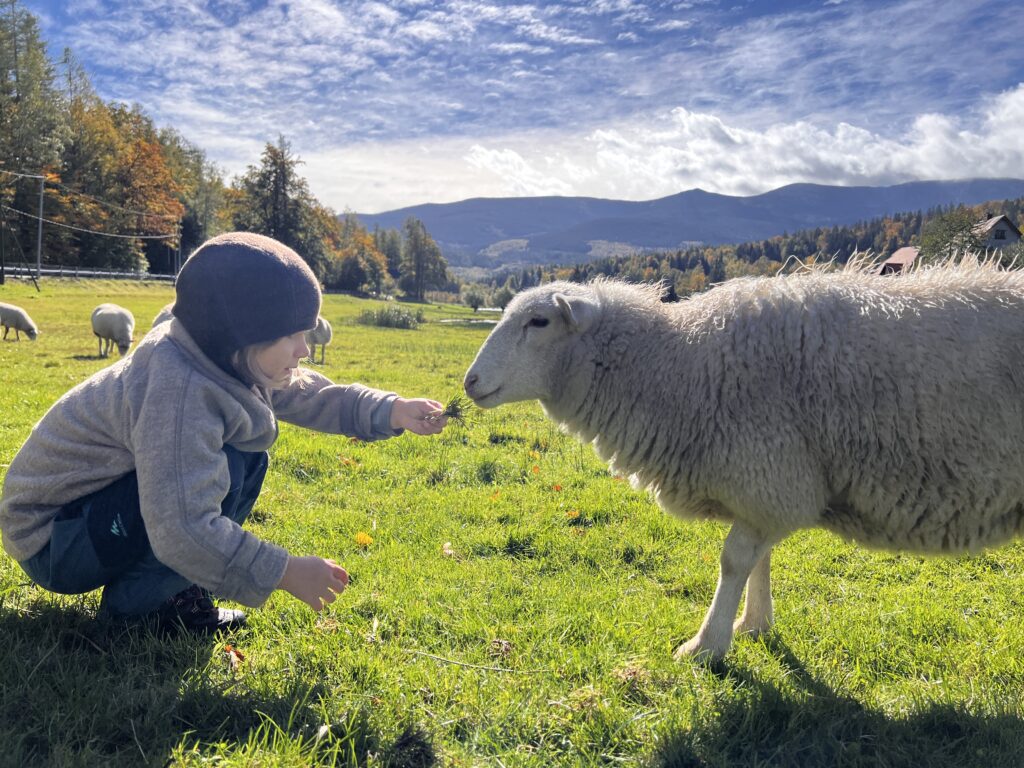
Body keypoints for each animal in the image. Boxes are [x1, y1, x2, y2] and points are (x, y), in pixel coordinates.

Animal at [466, 264, 1024, 663]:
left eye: (538, 322)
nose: (469, 382)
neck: (679, 364)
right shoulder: (762, 485)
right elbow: (759, 559)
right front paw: (753, 625)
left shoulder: (769, 472)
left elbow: (734, 561)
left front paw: (704, 647)